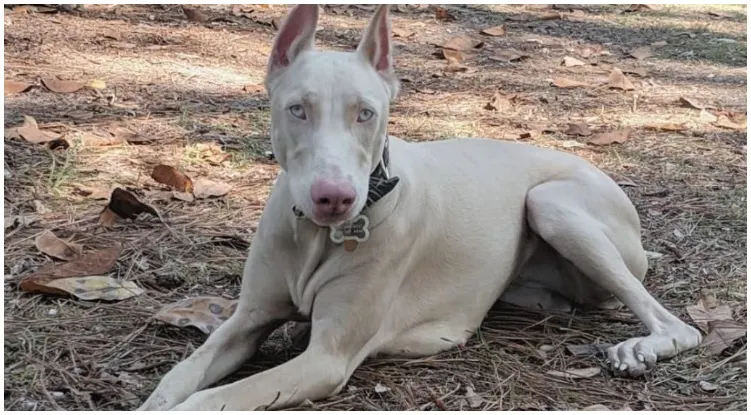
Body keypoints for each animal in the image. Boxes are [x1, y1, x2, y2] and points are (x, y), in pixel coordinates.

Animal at [137, 4, 704, 412]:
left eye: (366, 113)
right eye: (297, 109)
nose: (334, 197)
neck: (317, 236)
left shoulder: (326, 359)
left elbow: (216, 397)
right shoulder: (246, 320)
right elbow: (180, 379)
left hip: (552, 203)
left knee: (678, 326)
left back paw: (639, 348)